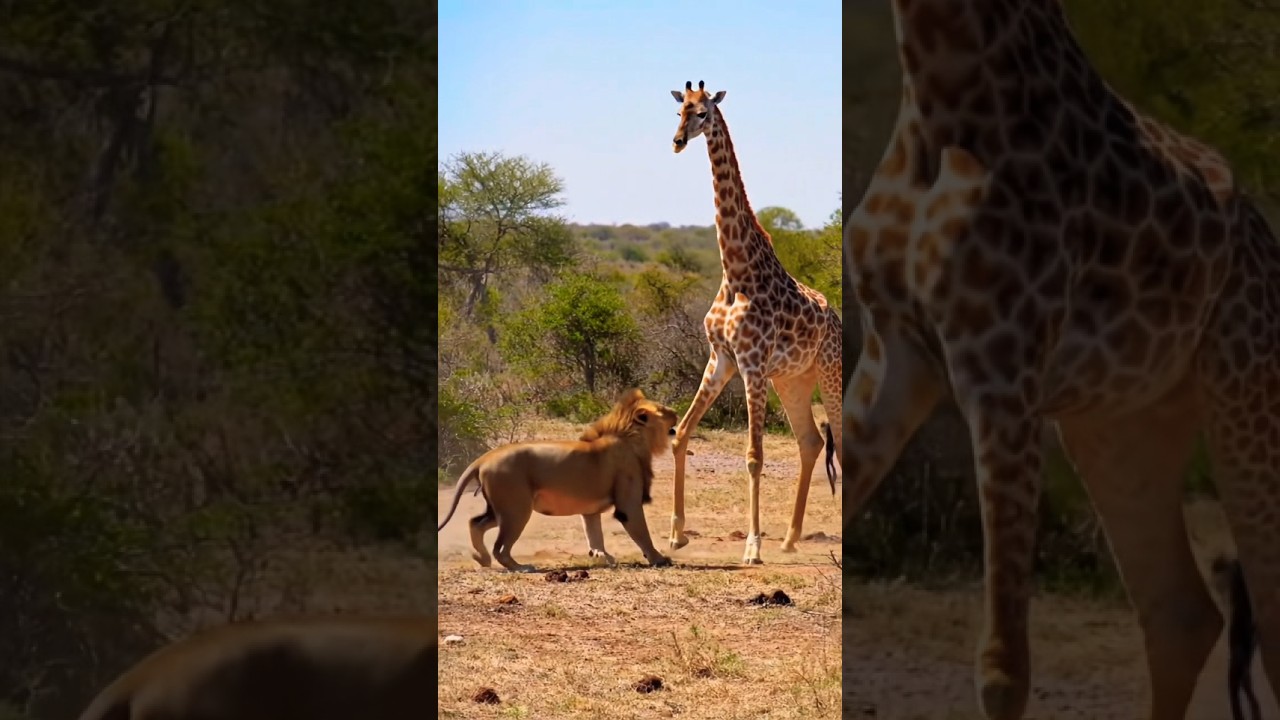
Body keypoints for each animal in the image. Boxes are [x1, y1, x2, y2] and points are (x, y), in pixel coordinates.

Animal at [437, 388, 677, 572]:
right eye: (664, 410)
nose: (676, 412)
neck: (634, 439)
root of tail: (485, 457)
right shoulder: (629, 504)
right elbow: (642, 533)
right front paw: (659, 558)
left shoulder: (590, 511)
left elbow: (594, 534)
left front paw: (601, 556)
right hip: (516, 510)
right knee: (500, 547)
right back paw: (520, 567)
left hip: (502, 509)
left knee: (475, 523)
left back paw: (482, 559)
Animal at [667, 80, 844, 565]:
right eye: (680, 110)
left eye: (705, 113)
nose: (677, 142)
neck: (735, 271)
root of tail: (840, 320)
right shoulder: (721, 359)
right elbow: (681, 433)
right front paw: (677, 533)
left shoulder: (751, 366)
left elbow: (753, 456)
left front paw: (751, 548)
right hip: (794, 380)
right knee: (811, 442)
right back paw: (789, 538)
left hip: (830, 373)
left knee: (839, 440)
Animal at [843, 2, 1280, 719]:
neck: (937, 84)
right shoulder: (896, 348)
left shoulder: (1002, 368)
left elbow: (1002, 669)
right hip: (1121, 424)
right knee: (1181, 615)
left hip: (1246, 393)